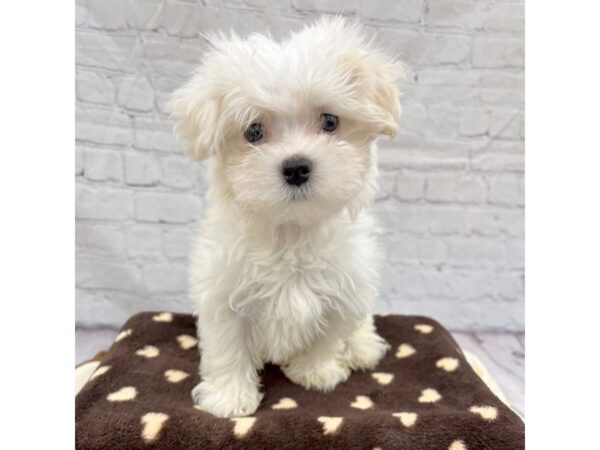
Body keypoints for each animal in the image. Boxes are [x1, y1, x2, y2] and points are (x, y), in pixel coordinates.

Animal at [169, 17, 404, 418]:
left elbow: (327, 335)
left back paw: (362, 348)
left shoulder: (344, 290)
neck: (291, 232)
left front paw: (316, 372)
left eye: (330, 121)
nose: (296, 167)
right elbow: (227, 347)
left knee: (360, 325)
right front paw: (230, 398)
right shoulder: (222, 293)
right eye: (253, 131)